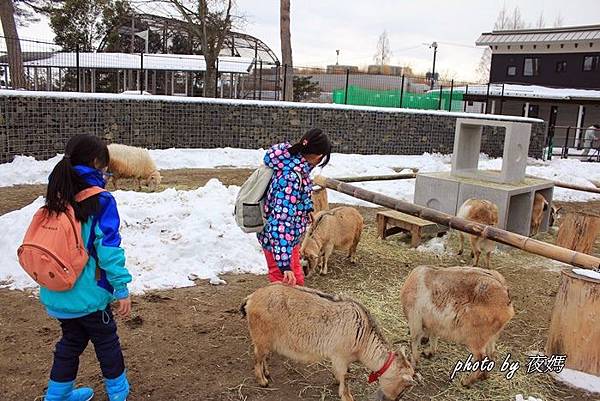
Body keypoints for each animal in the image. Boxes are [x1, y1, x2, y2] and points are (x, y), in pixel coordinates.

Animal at [239, 282, 418, 400]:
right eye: (402, 388)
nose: (391, 399)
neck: (364, 338)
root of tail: (251, 298)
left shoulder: (340, 358)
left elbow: (342, 374)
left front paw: (336, 381)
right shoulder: (341, 356)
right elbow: (345, 376)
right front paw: (347, 395)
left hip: (266, 340)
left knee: (262, 356)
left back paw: (267, 373)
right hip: (261, 336)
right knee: (257, 357)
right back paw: (262, 380)